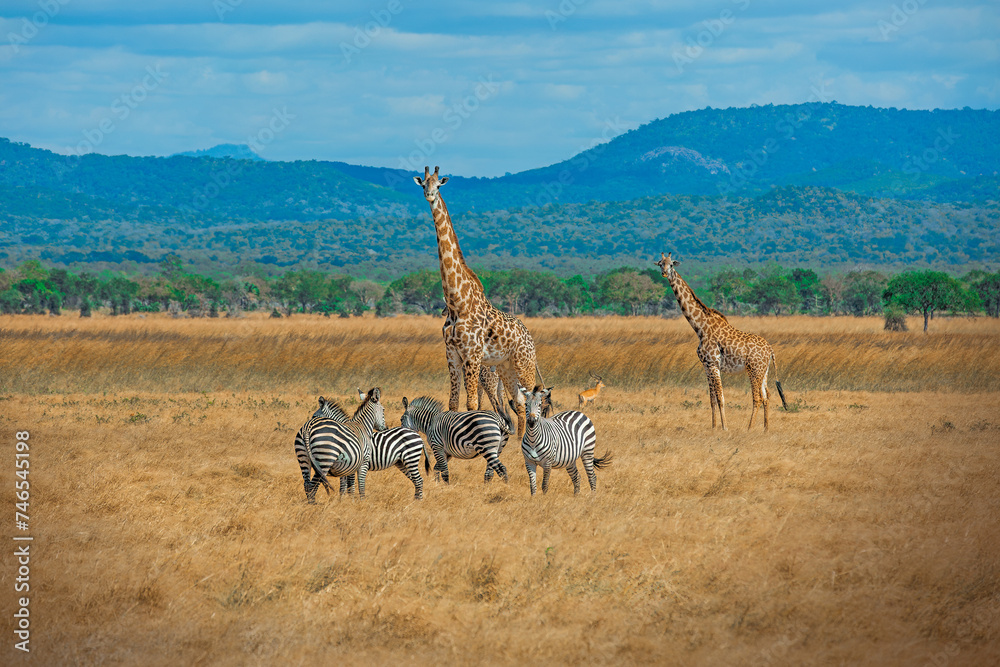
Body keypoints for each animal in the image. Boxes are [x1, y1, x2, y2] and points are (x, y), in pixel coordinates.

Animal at [413, 166, 540, 439]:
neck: (456, 302)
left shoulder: (472, 354)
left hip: (524, 363)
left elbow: (471, 403)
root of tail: (529, 335)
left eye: (438, 184)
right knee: (520, 402)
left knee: (535, 397)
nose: (429, 195)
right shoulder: (451, 353)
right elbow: (453, 403)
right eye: (423, 184)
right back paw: (521, 441)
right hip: (505, 366)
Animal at [655, 252, 788, 431]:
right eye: (660, 264)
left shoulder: (713, 363)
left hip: (754, 369)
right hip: (764, 371)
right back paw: (766, 429)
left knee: (758, 397)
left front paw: (724, 427)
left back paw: (749, 428)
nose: (664, 273)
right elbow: (711, 399)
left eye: (671, 265)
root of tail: (771, 350)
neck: (700, 327)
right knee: (767, 396)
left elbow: (720, 398)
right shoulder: (706, 365)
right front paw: (713, 427)